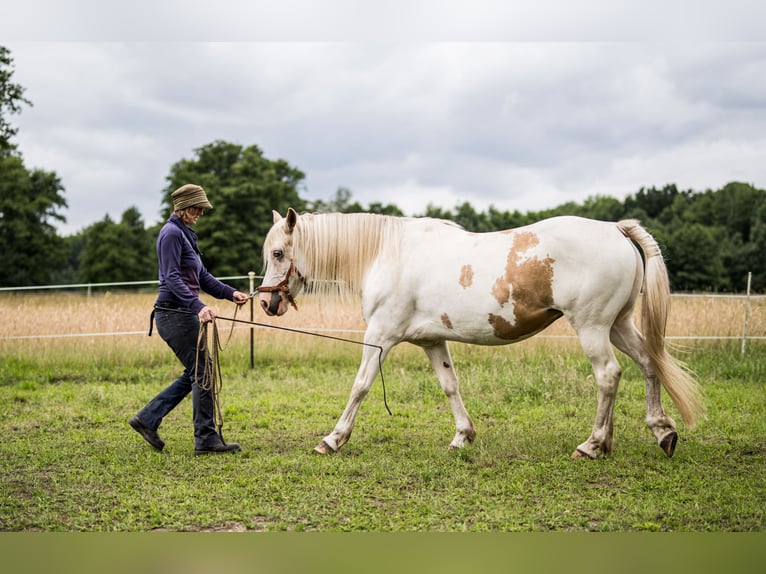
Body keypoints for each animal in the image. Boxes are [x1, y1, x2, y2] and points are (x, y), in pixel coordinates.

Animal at [258, 208, 704, 459]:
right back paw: (658, 432)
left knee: (608, 376)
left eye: (278, 253)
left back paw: (591, 445)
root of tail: (615, 229)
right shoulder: (432, 341)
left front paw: (333, 439)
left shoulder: (381, 336)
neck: (386, 253)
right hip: (619, 325)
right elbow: (450, 386)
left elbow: (361, 385)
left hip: (593, 328)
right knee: (648, 363)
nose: (266, 303)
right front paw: (463, 437)